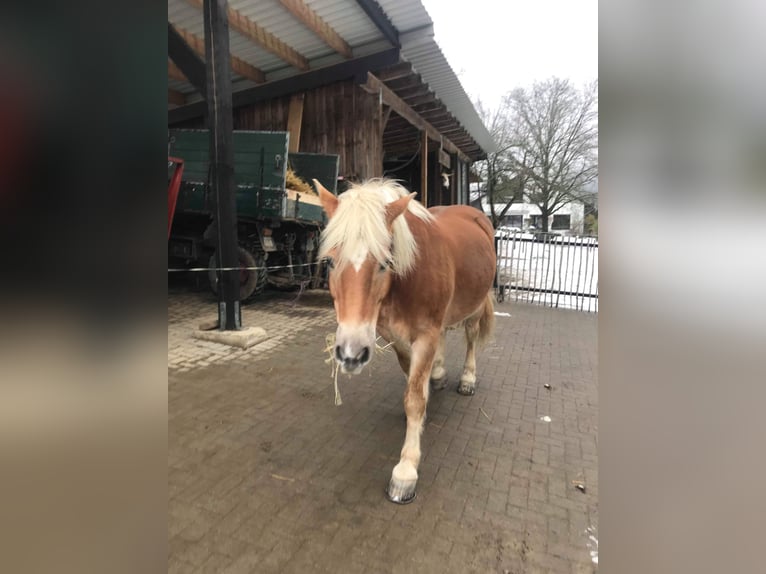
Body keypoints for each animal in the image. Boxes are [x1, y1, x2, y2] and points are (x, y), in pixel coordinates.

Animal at [314, 177, 498, 504]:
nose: (350, 353)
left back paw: (467, 379)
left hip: (475, 306)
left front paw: (406, 471)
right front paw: (428, 388)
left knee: (471, 337)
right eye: (331, 262)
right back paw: (438, 373)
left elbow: (414, 399)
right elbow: (412, 382)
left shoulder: (424, 336)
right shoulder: (395, 338)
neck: (409, 276)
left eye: (385, 262)